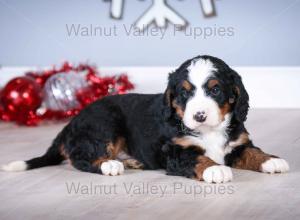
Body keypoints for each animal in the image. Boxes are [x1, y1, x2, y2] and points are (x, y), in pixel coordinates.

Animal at [1, 55, 290, 184]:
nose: (199, 115)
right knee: (81, 158)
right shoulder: (176, 150)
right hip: (105, 123)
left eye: (215, 90)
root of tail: (72, 121)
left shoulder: (238, 143)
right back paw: (110, 165)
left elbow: (252, 151)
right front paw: (214, 169)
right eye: (184, 93)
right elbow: (198, 158)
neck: (209, 131)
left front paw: (272, 160)